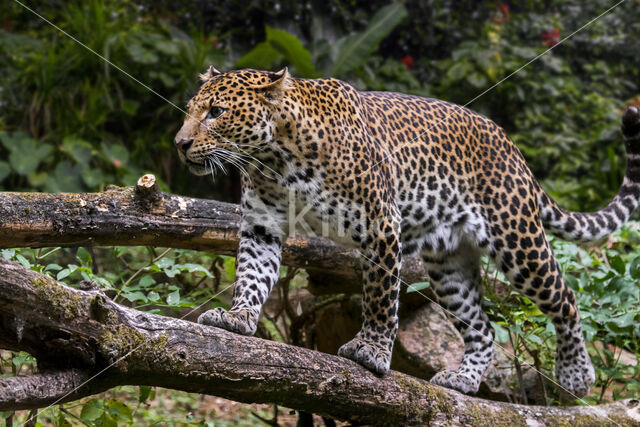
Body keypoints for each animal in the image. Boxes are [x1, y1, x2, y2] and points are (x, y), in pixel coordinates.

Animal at [174, 66, 640, 398]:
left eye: (216, 113)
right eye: (192, 109)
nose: (179, 143)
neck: (274, 159)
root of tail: (509, 144)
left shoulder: (380, 225)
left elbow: (380, 297)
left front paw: (372, 351)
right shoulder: (262, 227)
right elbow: (251, 277)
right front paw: (237, 317)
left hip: (517, 240)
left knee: (566, 298)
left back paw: (576, 375)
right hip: (449, 265)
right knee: (483, 328)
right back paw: (464, 380)